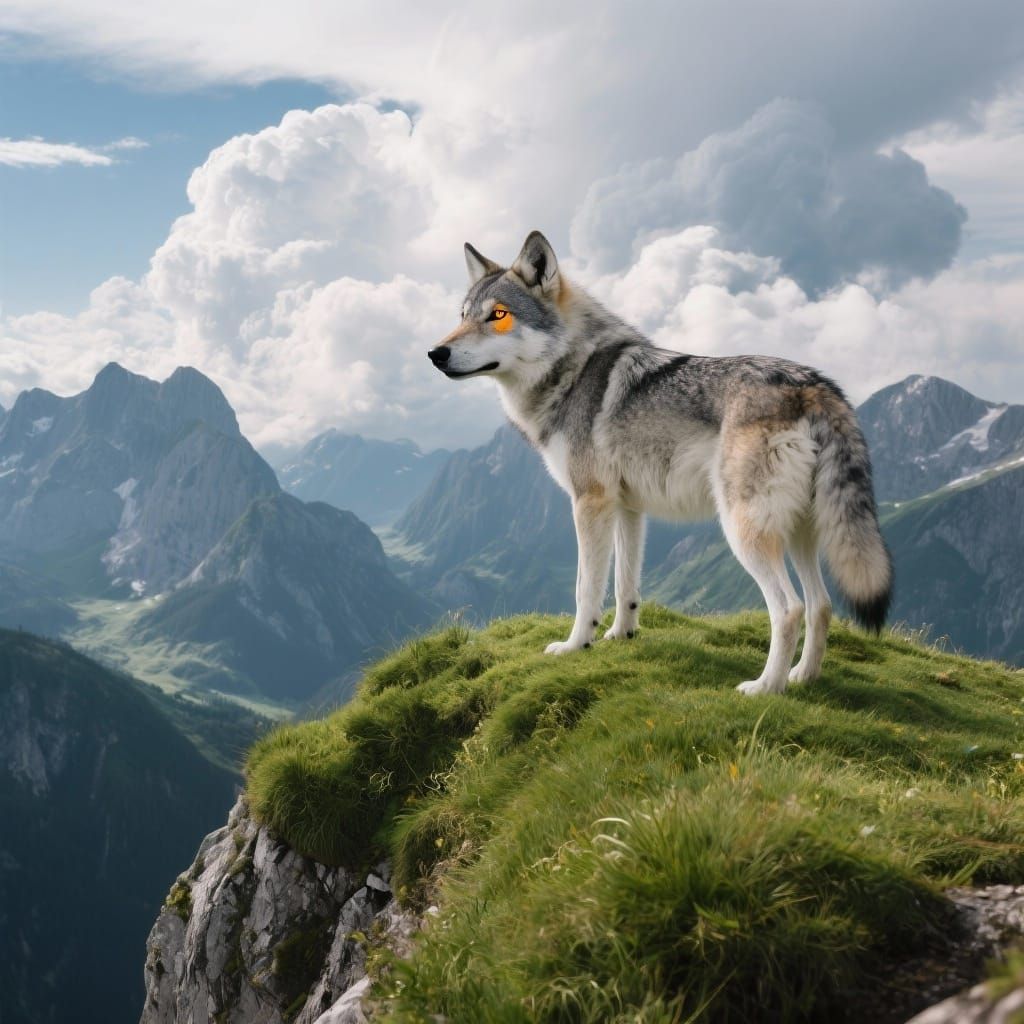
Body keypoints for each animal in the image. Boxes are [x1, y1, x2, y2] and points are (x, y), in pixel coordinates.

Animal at [427, 231, 892, 695]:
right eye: (463, 315)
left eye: (498, 315)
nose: (435, 353)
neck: (570, 371)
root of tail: (815, 386)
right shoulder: (629, 508)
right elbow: (625, 584)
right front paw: (620, 635)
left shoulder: (589, 502)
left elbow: (585, 588)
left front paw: (576, 645)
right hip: (798, 533)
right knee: (822, 605)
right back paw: (803, 677)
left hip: (744, 531)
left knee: (790, 608)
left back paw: (765, 688)